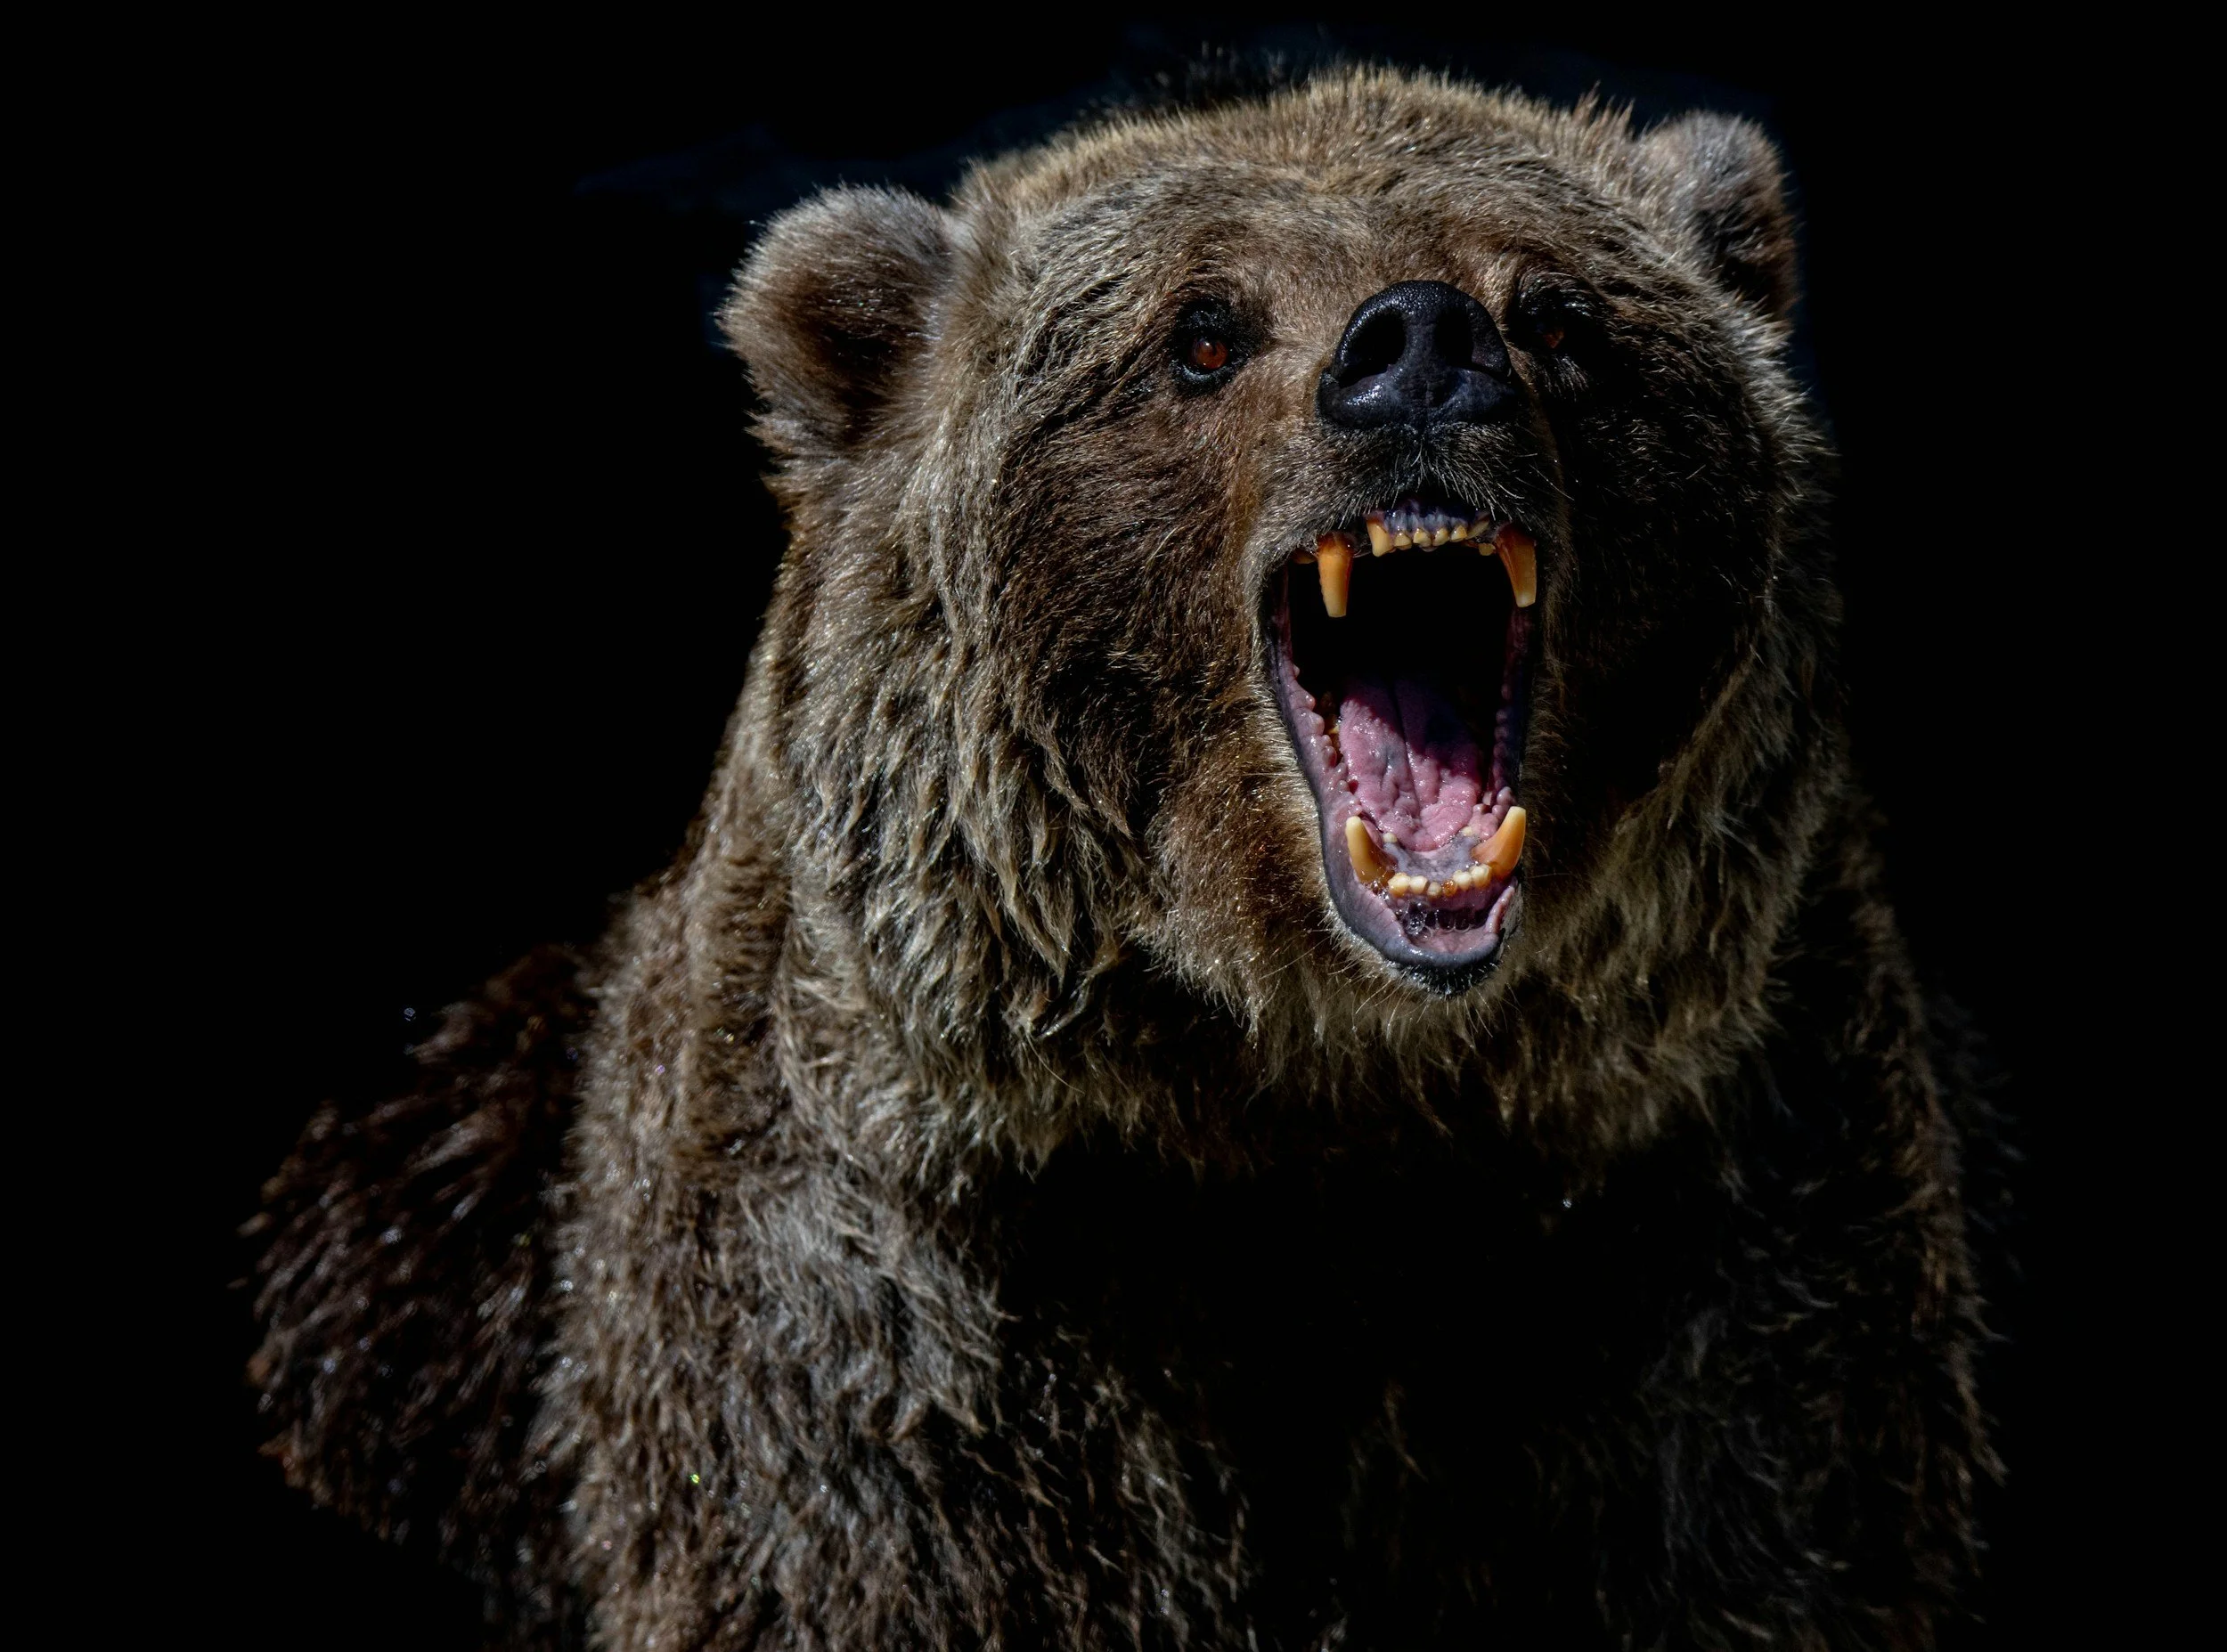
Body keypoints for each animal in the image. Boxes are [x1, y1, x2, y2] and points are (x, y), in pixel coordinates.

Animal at [249, 67, 1996, 1650]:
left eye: (1561, 313)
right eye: (1202, 332)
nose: (1420, 348)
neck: (1315, 1100)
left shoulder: (1700, 1263)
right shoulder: (914, 1328)